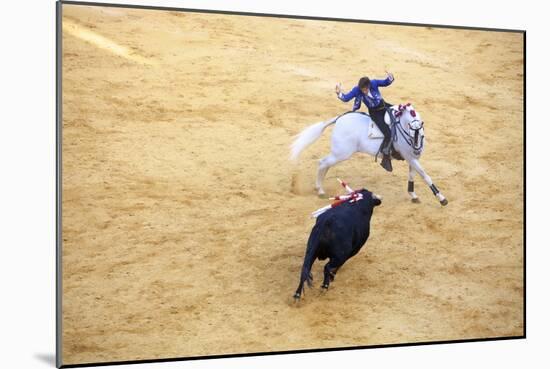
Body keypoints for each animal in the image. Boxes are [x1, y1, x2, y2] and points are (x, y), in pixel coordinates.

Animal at [292, 103, 450, 206]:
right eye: (411, 135)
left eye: (421, 135)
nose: (417, 150)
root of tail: (339, 119)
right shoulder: (410, 157)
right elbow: (425, 175)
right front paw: (442, 199)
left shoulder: (412, 158)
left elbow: (413, 176)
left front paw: (413, 195)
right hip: (341, 153)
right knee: (322, 163)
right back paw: (320, 190)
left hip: (338, 153)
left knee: (325, 165)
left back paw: (319, 188)